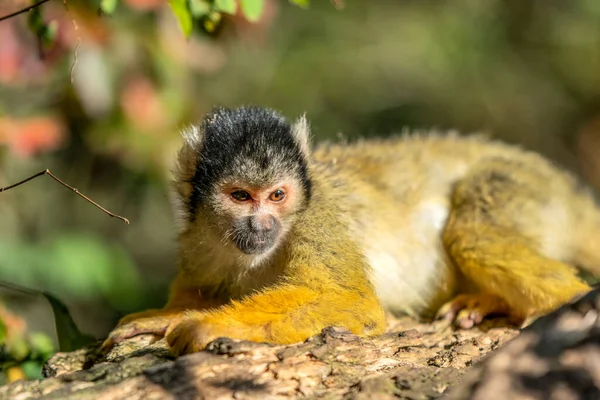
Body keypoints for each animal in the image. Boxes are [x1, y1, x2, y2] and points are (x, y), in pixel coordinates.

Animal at [101, 105, 596, 356]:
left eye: (277, 196)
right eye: (241, 196)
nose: (261, 223)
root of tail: (568, 191)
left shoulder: (314, 214)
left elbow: (353, 301)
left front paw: (207, 325)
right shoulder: (197, 237)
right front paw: (165, 315)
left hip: (523, 184)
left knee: (471, 234)